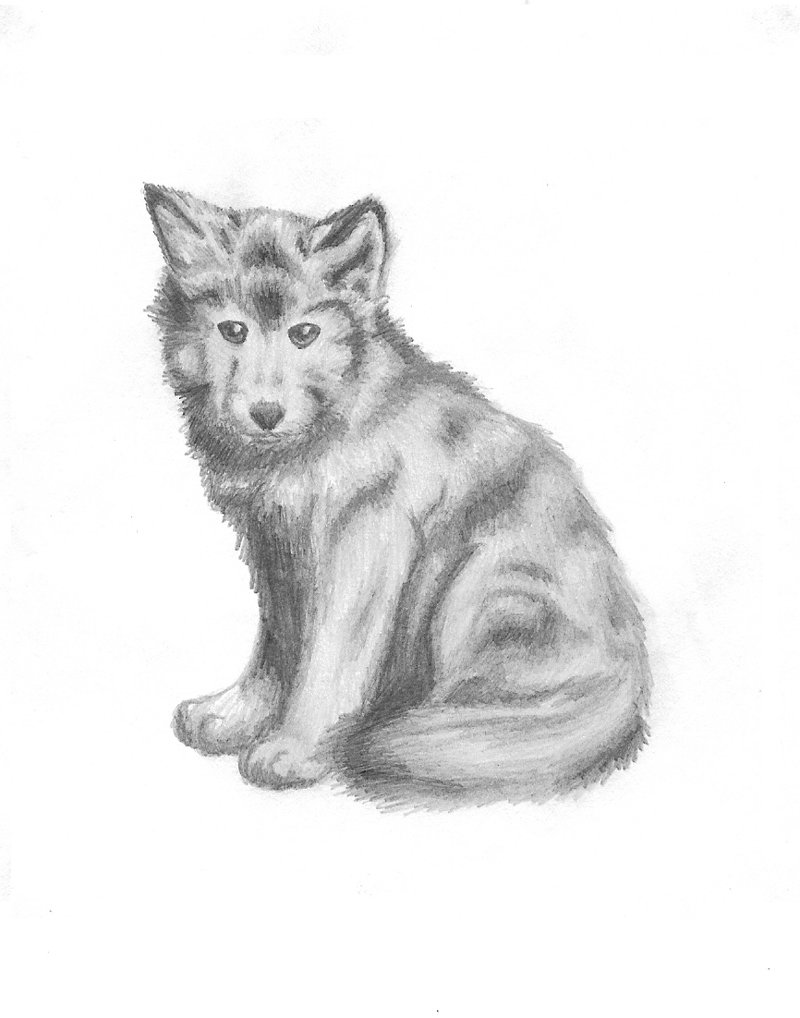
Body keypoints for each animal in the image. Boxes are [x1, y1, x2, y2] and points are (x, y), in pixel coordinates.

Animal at [144, 183, 651, 809]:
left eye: (303, 333)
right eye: (233, 330)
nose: (265, 414)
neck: (326, 426)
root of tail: (631, 675)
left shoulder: (364, 546)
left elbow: (327, 661)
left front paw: (295, 749)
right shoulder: (275, 548)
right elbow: (276, 650)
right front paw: (236, 716)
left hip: (477, 584)